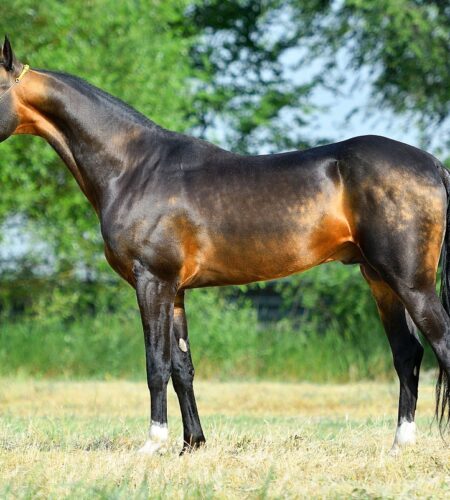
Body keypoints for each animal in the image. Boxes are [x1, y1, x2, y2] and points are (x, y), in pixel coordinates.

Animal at [1, 36, 450, 455]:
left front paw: (153, 443)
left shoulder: (152, 282)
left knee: (439, 343)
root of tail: (431, 163)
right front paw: (192, 444)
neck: (134, 168)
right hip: (380, 280)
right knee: (407, 353)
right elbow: (182, 367)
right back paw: (400, 444)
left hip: (411, 283)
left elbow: (155, 363)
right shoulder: (175, 291)